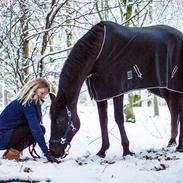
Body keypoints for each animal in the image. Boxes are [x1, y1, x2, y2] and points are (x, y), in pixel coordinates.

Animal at [49, 21, 183, 159]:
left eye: (60, 121)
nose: (53, 152)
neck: (99, 52)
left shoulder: (117, 90)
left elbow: (118, 118)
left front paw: (127, 150)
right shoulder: (101, 93)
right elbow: (103, 120)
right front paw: (102, 151)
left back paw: (179, 146)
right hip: (166, 90)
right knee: (176, 112)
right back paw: (172, 142)